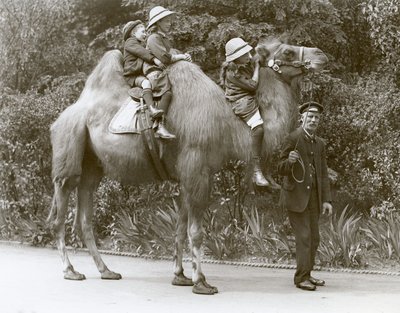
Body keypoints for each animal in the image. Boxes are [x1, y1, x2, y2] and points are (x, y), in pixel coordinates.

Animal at [47, 37, 328, 294]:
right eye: (288, 51)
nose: (321, 55)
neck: (227, 125)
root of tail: (63, 116)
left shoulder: (187, 176)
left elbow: (180, 229)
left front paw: (180, 276)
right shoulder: (197, 170)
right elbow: (196, 232)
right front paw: (201, 282)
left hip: (93, 164)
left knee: (85, 215)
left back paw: (106, 270)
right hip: (68, 147)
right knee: (61, 208)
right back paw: (70, 270)